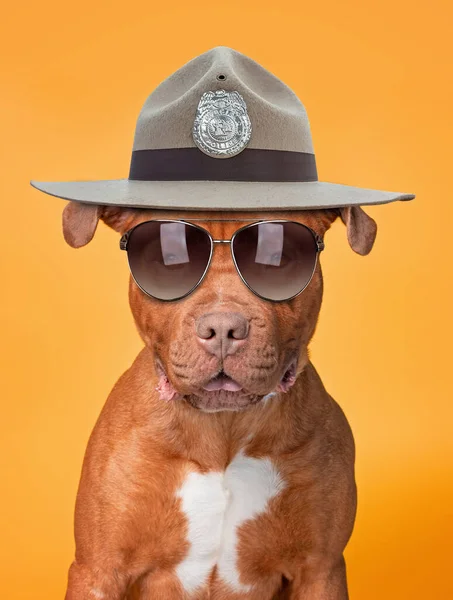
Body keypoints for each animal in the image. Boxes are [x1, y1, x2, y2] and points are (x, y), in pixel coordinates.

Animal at [61, 200, 376, 600]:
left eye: (278, 257)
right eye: (169, 257)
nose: (224, 327)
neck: (223, 428)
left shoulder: (320, 571)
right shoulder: (98, 570)